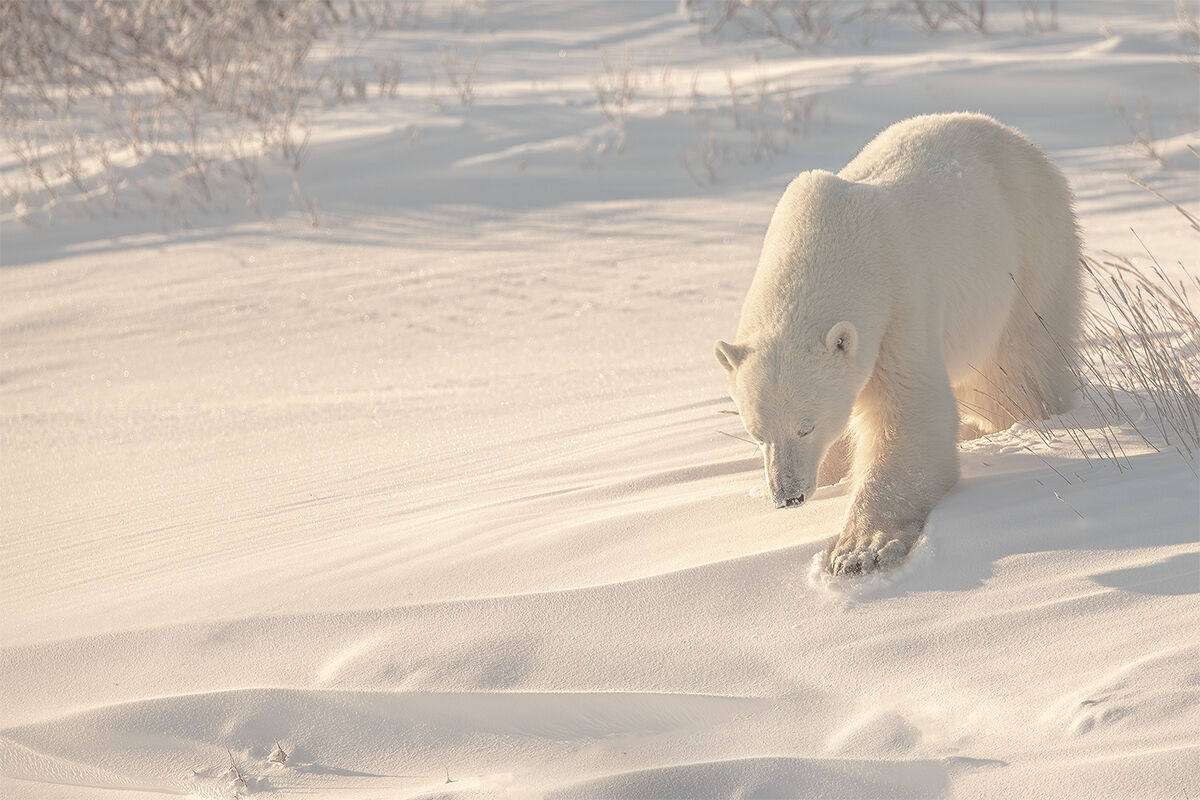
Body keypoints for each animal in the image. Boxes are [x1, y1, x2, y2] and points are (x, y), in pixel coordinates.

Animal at [715, 112, 1082, 576]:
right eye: (756, 433)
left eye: (806, 426)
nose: (789, 496)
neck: (829, 241)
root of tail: (1015, 137)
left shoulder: (901, 302)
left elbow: (908, 412)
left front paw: (859, 550)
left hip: (1032, 247)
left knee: (1017, 367)